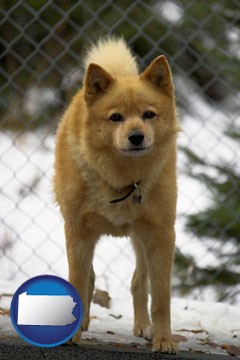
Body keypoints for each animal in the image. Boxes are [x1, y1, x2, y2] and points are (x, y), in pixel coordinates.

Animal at [53, 38, 179, 352]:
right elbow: (78, 281)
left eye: (149, 114)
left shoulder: (162, 235)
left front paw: (164, 340)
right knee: (90, 278)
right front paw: (72, 335)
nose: (136, 137)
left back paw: (143, 327)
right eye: (115, 117)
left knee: (138, 282)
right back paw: (84, 322)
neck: (123, 181)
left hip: (141, 238)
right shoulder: (78, 232)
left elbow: (161, 297)